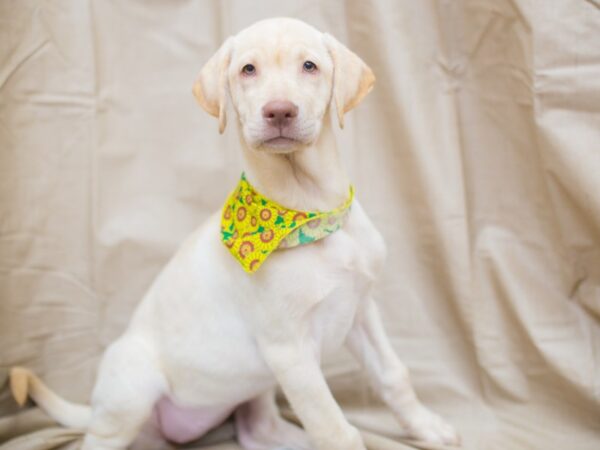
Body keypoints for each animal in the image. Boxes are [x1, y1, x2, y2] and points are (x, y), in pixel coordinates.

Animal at [9, 17, 460, 450]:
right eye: (248, 69)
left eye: (309, 65)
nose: (279, 111)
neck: (309, 212)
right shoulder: (290, 351)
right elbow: (335, 429)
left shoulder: (361, 309)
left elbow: (394, 376)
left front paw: (428, 428)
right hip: (133, 383)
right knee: (98, 439)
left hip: (254, 385)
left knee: (258, 431)